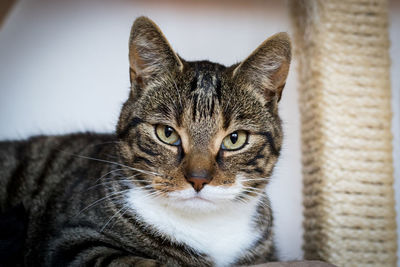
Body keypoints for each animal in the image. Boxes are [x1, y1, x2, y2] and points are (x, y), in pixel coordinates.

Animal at [0, 16, 290, 267]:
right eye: (167, 133)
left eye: (234, 139)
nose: (198, 179)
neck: (206, 230)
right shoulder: (71, 242)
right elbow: (140, 262)